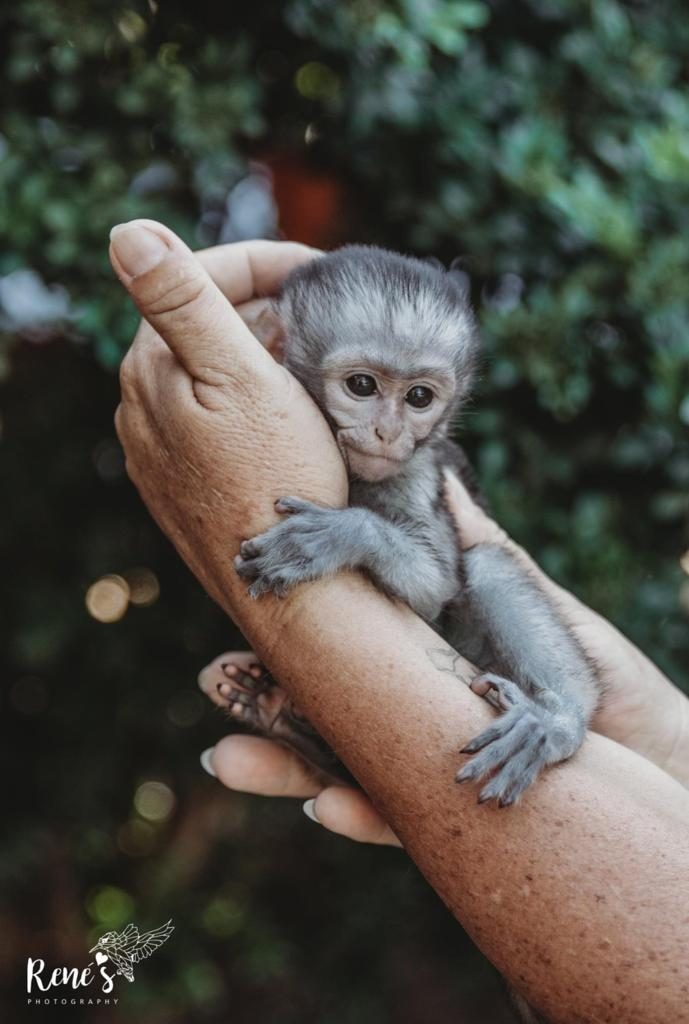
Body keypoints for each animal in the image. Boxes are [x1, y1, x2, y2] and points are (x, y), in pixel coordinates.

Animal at [199, 245, 600, 808]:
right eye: (362, 386)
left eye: (419, 398)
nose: (388, 432)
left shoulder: (416, 470)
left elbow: (434, 586)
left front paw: (339, 536)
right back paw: (278, 713)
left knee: (486, 562)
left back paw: (555, 720)